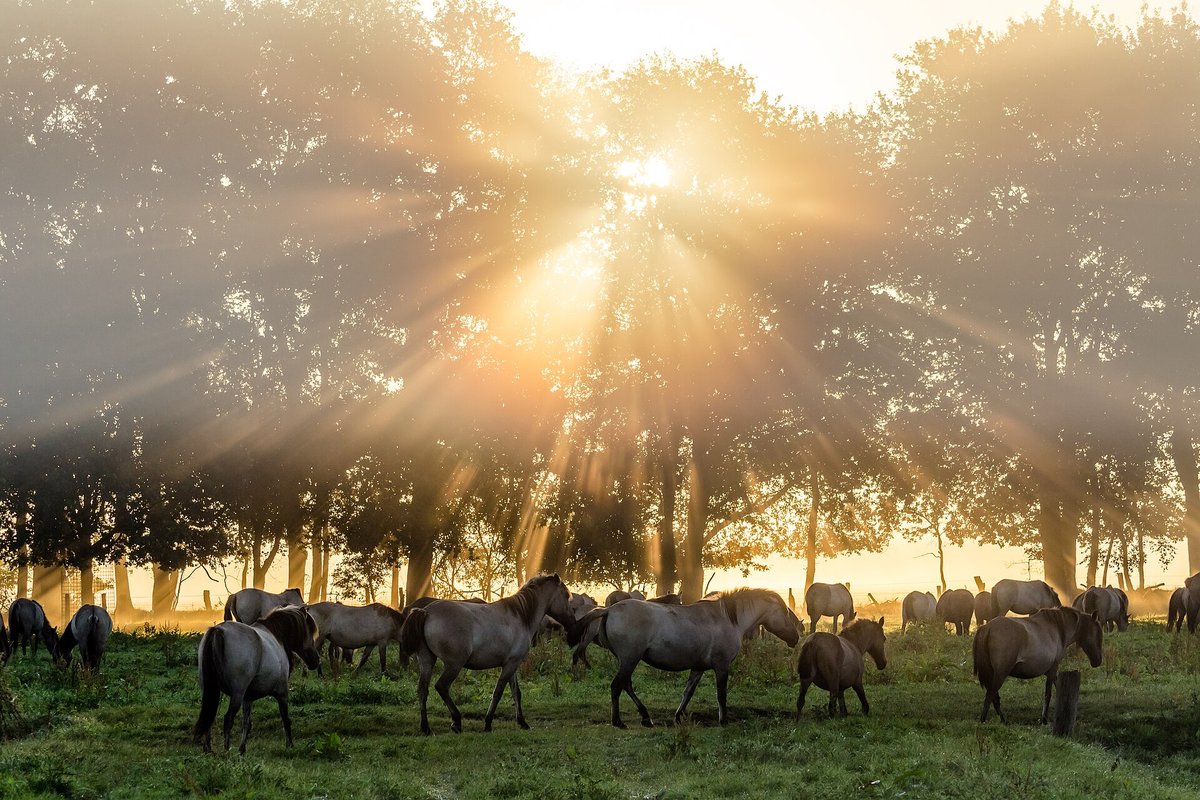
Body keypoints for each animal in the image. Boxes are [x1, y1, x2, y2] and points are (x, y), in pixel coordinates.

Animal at [194, 606, 320, 754]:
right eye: (309, 631)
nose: (316, 660)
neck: (276, 637)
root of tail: (219, 630)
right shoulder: (282, 693)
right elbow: (286, 719)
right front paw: (290, 745)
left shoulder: (248, 698)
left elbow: (247, 723)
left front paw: (242, 749)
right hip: (237, 694)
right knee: (228, 719)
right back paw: (226, 750)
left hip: (211, 690)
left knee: (209, 717)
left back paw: (208, 749)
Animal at [399, 574, 574, 735]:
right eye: (566, 595)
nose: (572, 620)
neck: (521, 616)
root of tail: (426, 612)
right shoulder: (510, 665)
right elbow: (498, 692)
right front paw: (488, 723)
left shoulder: (512, 664)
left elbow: (516, 693)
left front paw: (522, 722)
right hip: (454, 665)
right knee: (441, 687)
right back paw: (456, 721)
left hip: (427, 660)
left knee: (422, 690)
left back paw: (426, 728)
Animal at [568, 588, 801, 728]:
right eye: (784, 612)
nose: (796, 637)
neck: (729, 619)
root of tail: (608, 610)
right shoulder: (722, 666)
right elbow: (721, 695)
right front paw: (723, 720)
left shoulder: (698, 668)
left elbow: (687, 692)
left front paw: (678, 716)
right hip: (630, 659)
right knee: (617, 685)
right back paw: (619, 721)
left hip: (627, 660)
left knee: (626, 685)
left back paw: (645, 716)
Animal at [972, 607, 1103, 723]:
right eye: (1098, 634)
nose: (1098, 661)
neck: (1058, 628)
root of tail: (987, 628)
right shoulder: (1053, 668)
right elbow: (1048, 694)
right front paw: (1044, 719)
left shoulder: (1051, 672)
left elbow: (1058, 688)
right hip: (1000, 674)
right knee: (990, 696)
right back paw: (984, 720)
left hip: (992, 674)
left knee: (994, 698)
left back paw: (1002, 720)